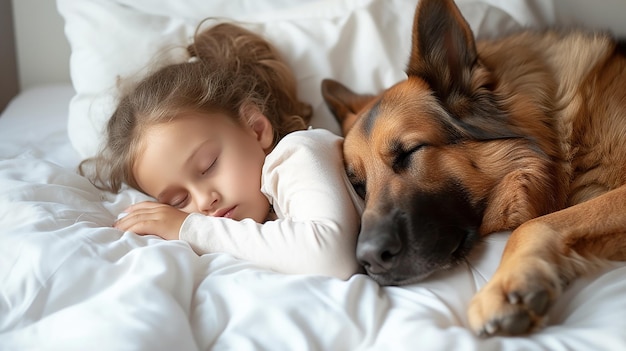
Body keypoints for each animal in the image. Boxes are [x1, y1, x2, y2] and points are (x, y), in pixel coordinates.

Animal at [322, 0, 624, 338]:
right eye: (358, 185)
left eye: (410, 152)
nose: (370, 258)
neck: (562, 138)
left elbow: (534, 224)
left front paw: (506, 285)